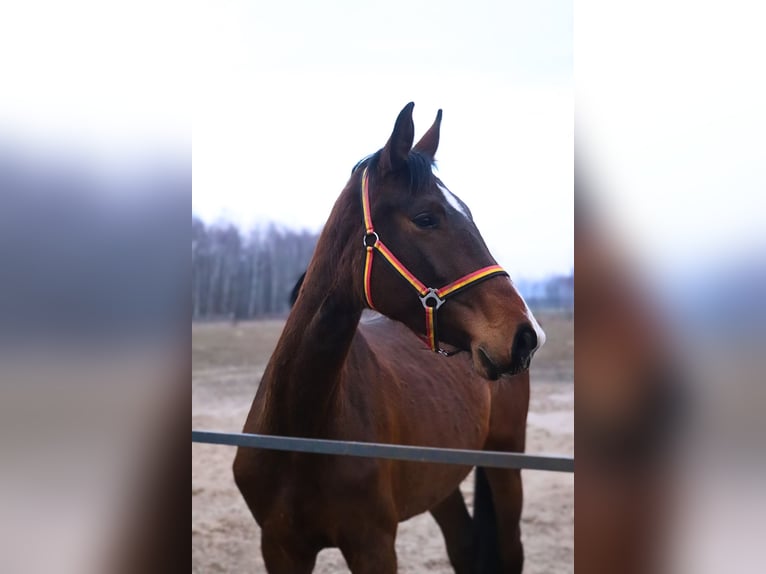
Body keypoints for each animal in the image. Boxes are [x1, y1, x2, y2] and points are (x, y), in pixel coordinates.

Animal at [234, 103, 544, 574]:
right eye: (426, 218)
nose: (526, 335)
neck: (302, 432)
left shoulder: (373, 545)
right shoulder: (280, 547)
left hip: (505, 464)